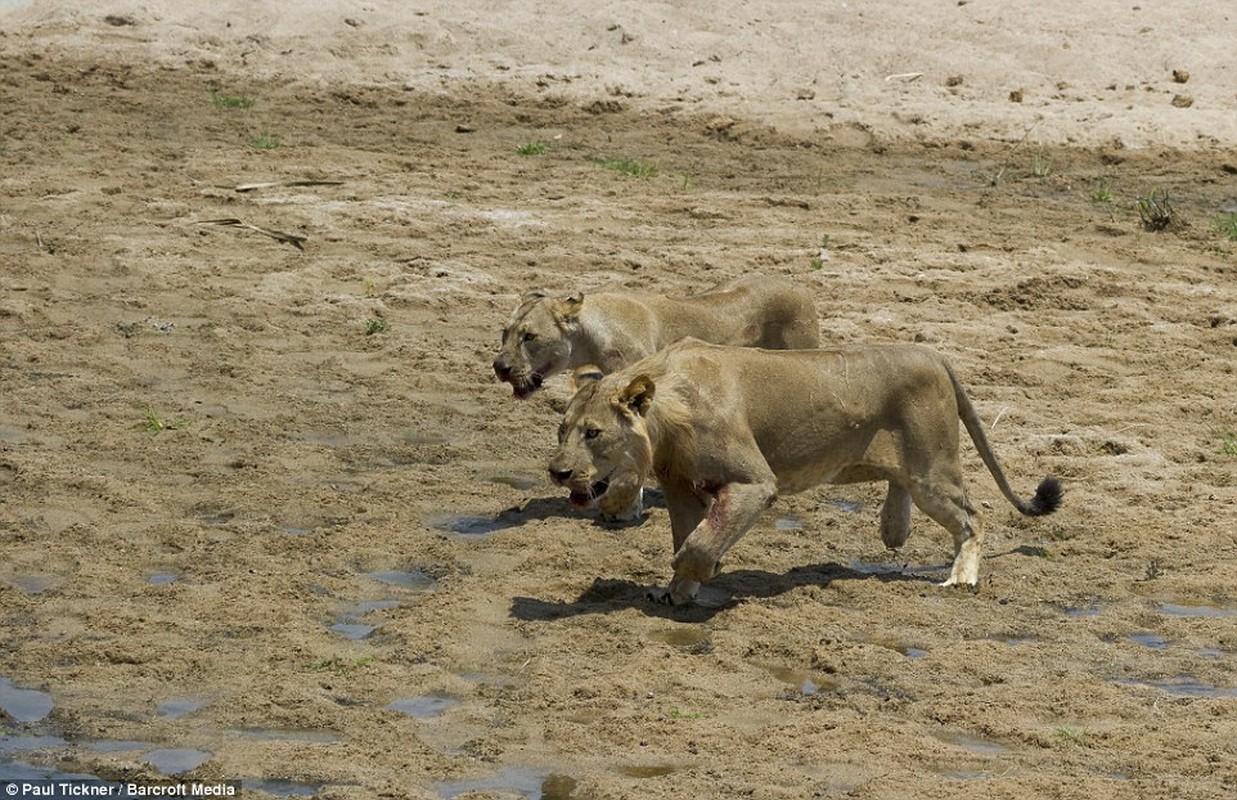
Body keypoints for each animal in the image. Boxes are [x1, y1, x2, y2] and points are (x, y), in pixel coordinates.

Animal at [551, 338, 1063, 608]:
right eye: (562, 429)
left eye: (593, 433)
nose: (557, 471)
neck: (665, 412)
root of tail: (932, 354)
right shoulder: (681, 487)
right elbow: (688, 536)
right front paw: (678, 592)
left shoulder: (755, 483)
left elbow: (699, 543)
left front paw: (698, 575)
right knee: (904, 488)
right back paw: (893, 529)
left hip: (933, 470)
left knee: (973, 517)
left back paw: (961, 578)